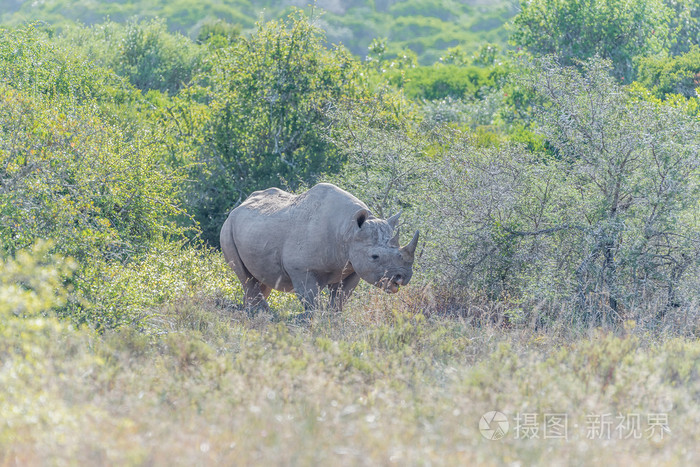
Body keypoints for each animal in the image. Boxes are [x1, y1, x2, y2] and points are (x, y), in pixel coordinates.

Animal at [220, 183, 416, 314]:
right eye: (375, 256)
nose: (403, 277)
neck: (348, 231)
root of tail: (239, 206)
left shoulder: (353, 267)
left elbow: (340, 299)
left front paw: (333, 319)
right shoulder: (301, 269)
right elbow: (311, 300)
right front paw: (315, 322)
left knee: (261, 281)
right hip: (228, 228)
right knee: (247, 278)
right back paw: (262, 314)